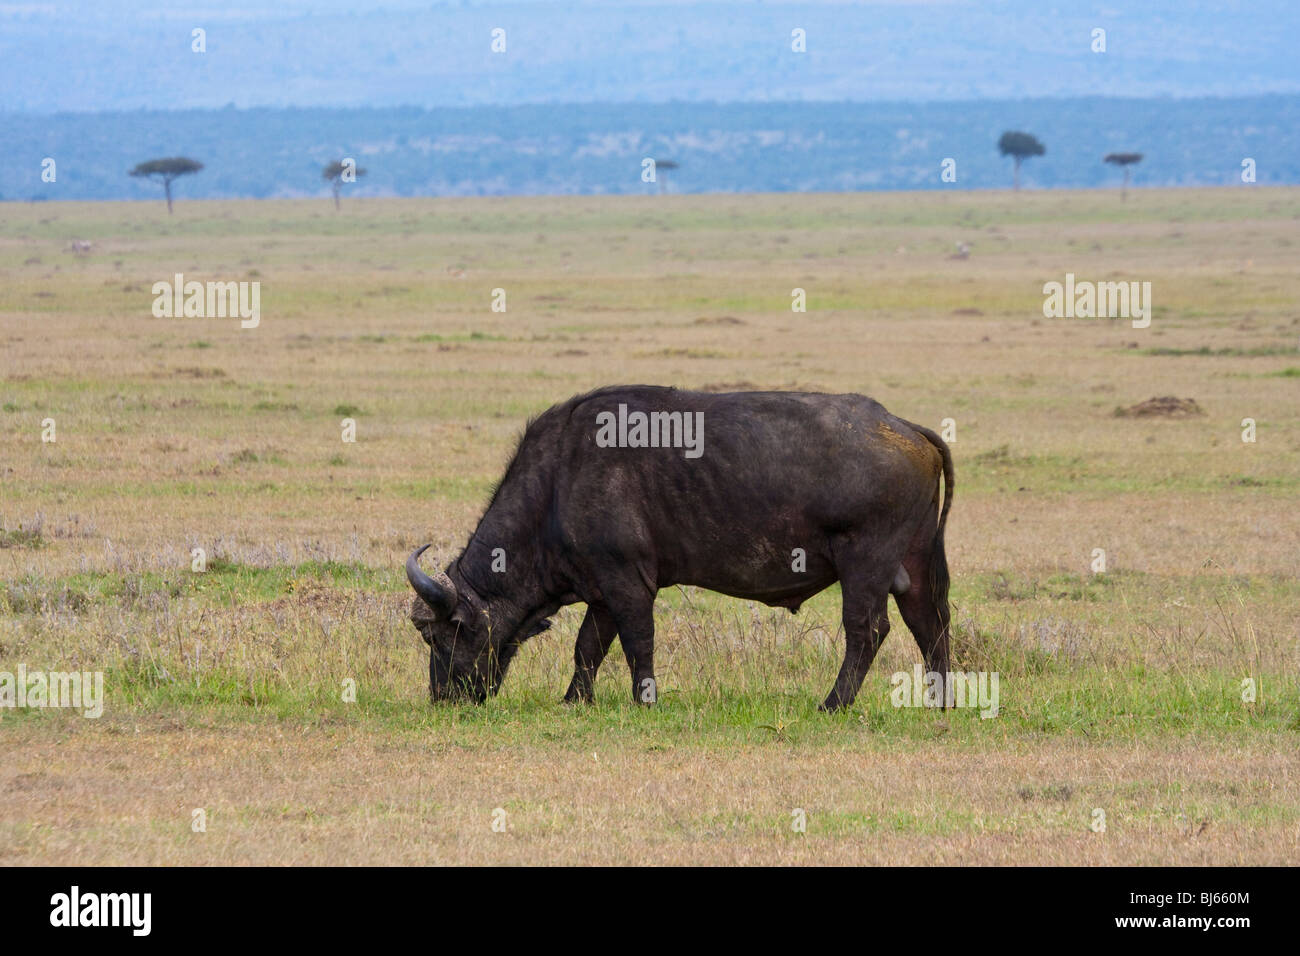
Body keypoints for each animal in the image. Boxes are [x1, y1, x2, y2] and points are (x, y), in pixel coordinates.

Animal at [406, 385, 953, 712]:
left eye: (439, 636)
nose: (442, 698)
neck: (558, 481)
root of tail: (904, 427)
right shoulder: (601, 590)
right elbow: (588, 647)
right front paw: (574, 701)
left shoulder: (627, 582)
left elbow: (636, 642)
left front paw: (644, 700)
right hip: (915, 564)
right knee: (931, 623)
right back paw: (941, 700)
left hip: (865, 563)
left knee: (868, 630)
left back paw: (833, 703)